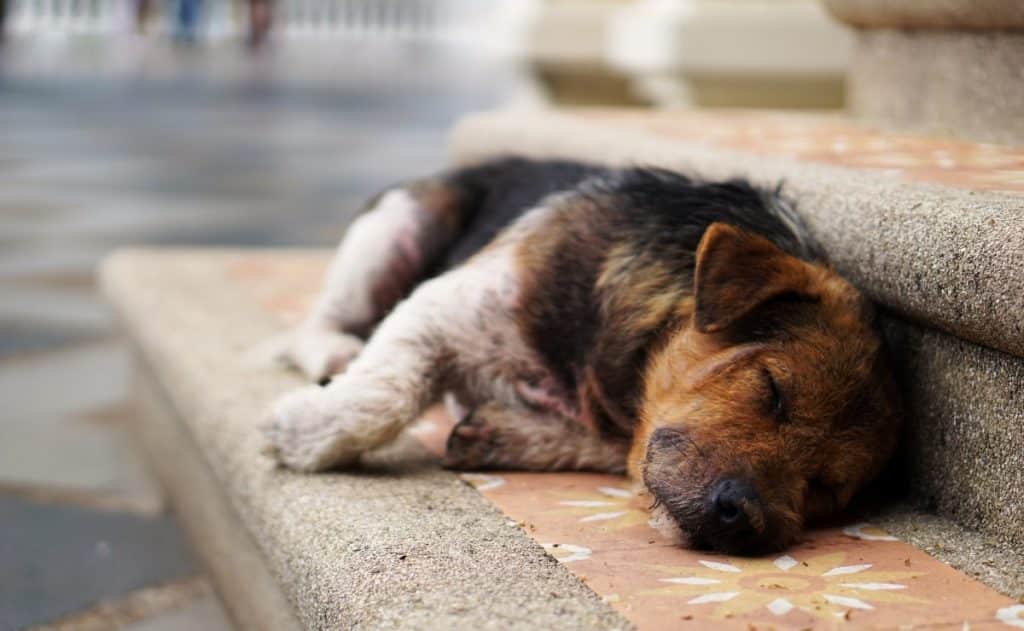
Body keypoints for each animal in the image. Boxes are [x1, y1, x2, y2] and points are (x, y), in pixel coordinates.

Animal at [260, 156, 901, 553]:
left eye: (826, 488)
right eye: (772, 390)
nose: (744, 520)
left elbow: (607, 448)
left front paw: (503, 433)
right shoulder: (444, 306)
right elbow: (385, 393)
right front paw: (304, 434)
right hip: (396, 227)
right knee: (316, 321)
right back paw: (333, 354)